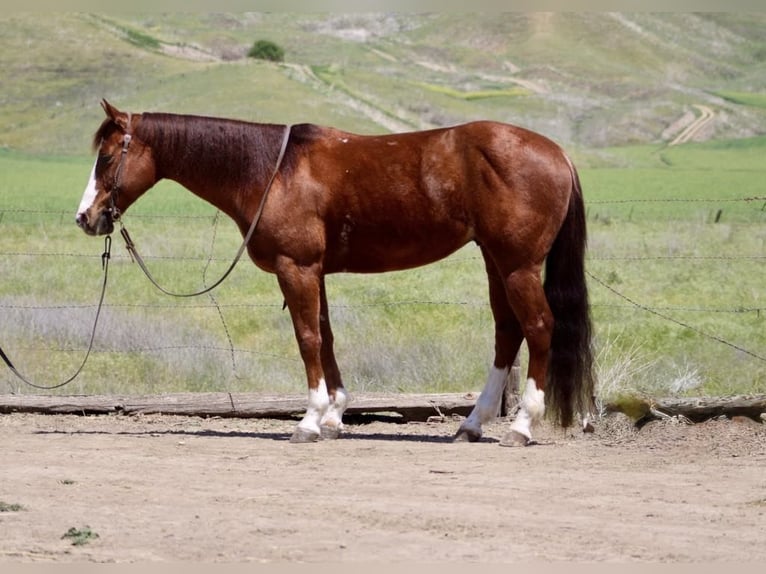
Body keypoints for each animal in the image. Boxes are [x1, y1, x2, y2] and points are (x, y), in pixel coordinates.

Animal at [77, 99, 595, 446]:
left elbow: (306, 337)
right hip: (495, 260)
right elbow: (325, 335)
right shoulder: (315, 272)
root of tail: (559, 154)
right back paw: (471, 424)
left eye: (107, 157)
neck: (272, 170)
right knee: (508, 332)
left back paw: (522, 425)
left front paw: (309, 420)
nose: (85, 218)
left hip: (518, 265)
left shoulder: (297, 268)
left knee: (538, 328)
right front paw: (333, 416)